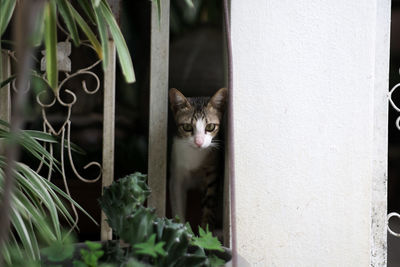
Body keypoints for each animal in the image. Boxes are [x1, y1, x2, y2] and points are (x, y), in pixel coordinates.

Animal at [167, 88, 227, 230]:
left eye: (210, 127)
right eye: (187, 127)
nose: (199, 142)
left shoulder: (212, 173)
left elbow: (209, 204)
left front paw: (205, 230)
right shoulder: (176, 177)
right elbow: (178, 208)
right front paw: (183, 231)